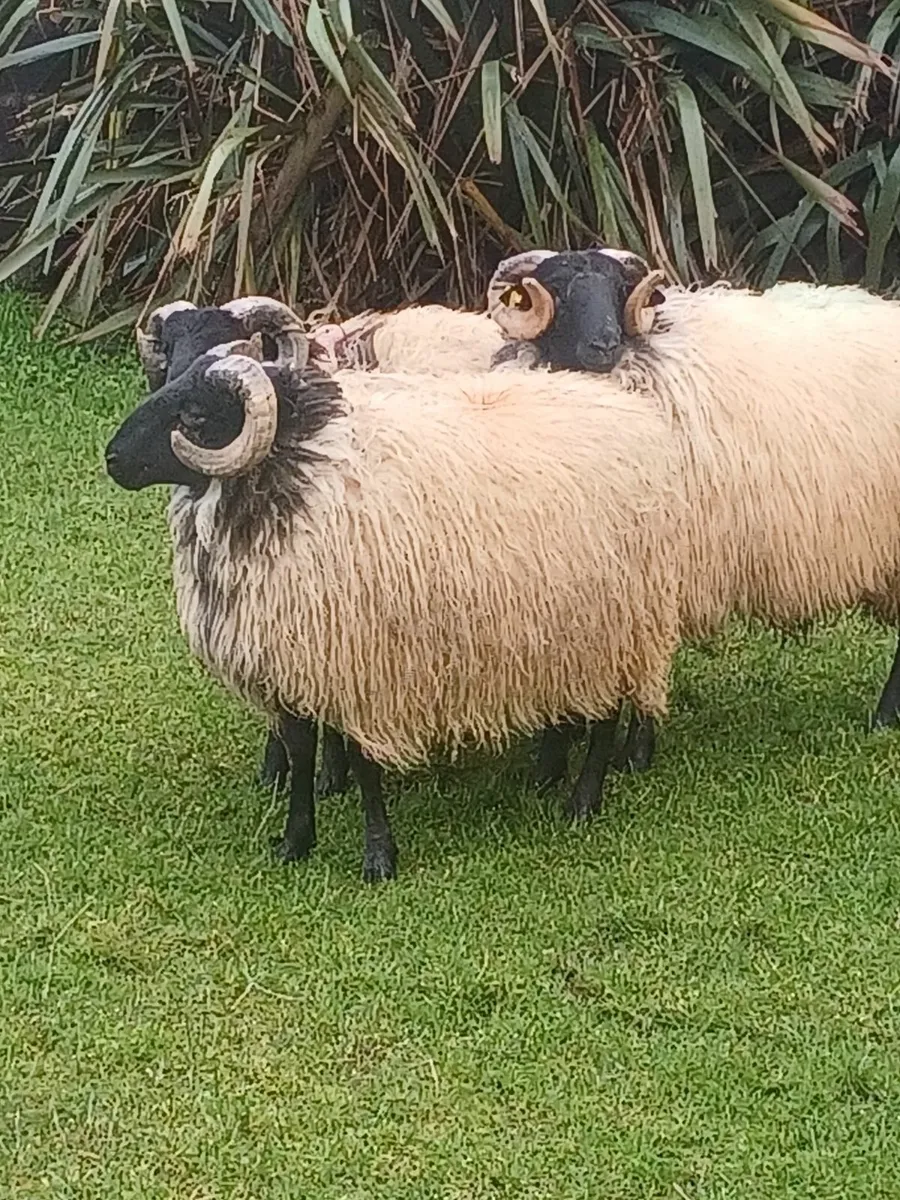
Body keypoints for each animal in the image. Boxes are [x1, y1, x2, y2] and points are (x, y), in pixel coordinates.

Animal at [104, 348, 688, 881]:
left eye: (195, 416)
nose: (111, 458)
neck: (298, 474)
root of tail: (635, 414)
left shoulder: (365, 669)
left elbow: (365, 769)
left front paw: (378, 858)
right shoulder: (294, 660)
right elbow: (299, 755)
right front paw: (295, 841)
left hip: (619, 622)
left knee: (606, 716)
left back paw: (582, 801)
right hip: (572, 628)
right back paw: (547, 776)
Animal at [488, 246, 900, 773]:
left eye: (619, 288)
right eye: (556, 287)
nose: (604, 344)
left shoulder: (658, 567)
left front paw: (635, 753)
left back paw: (884, 717)